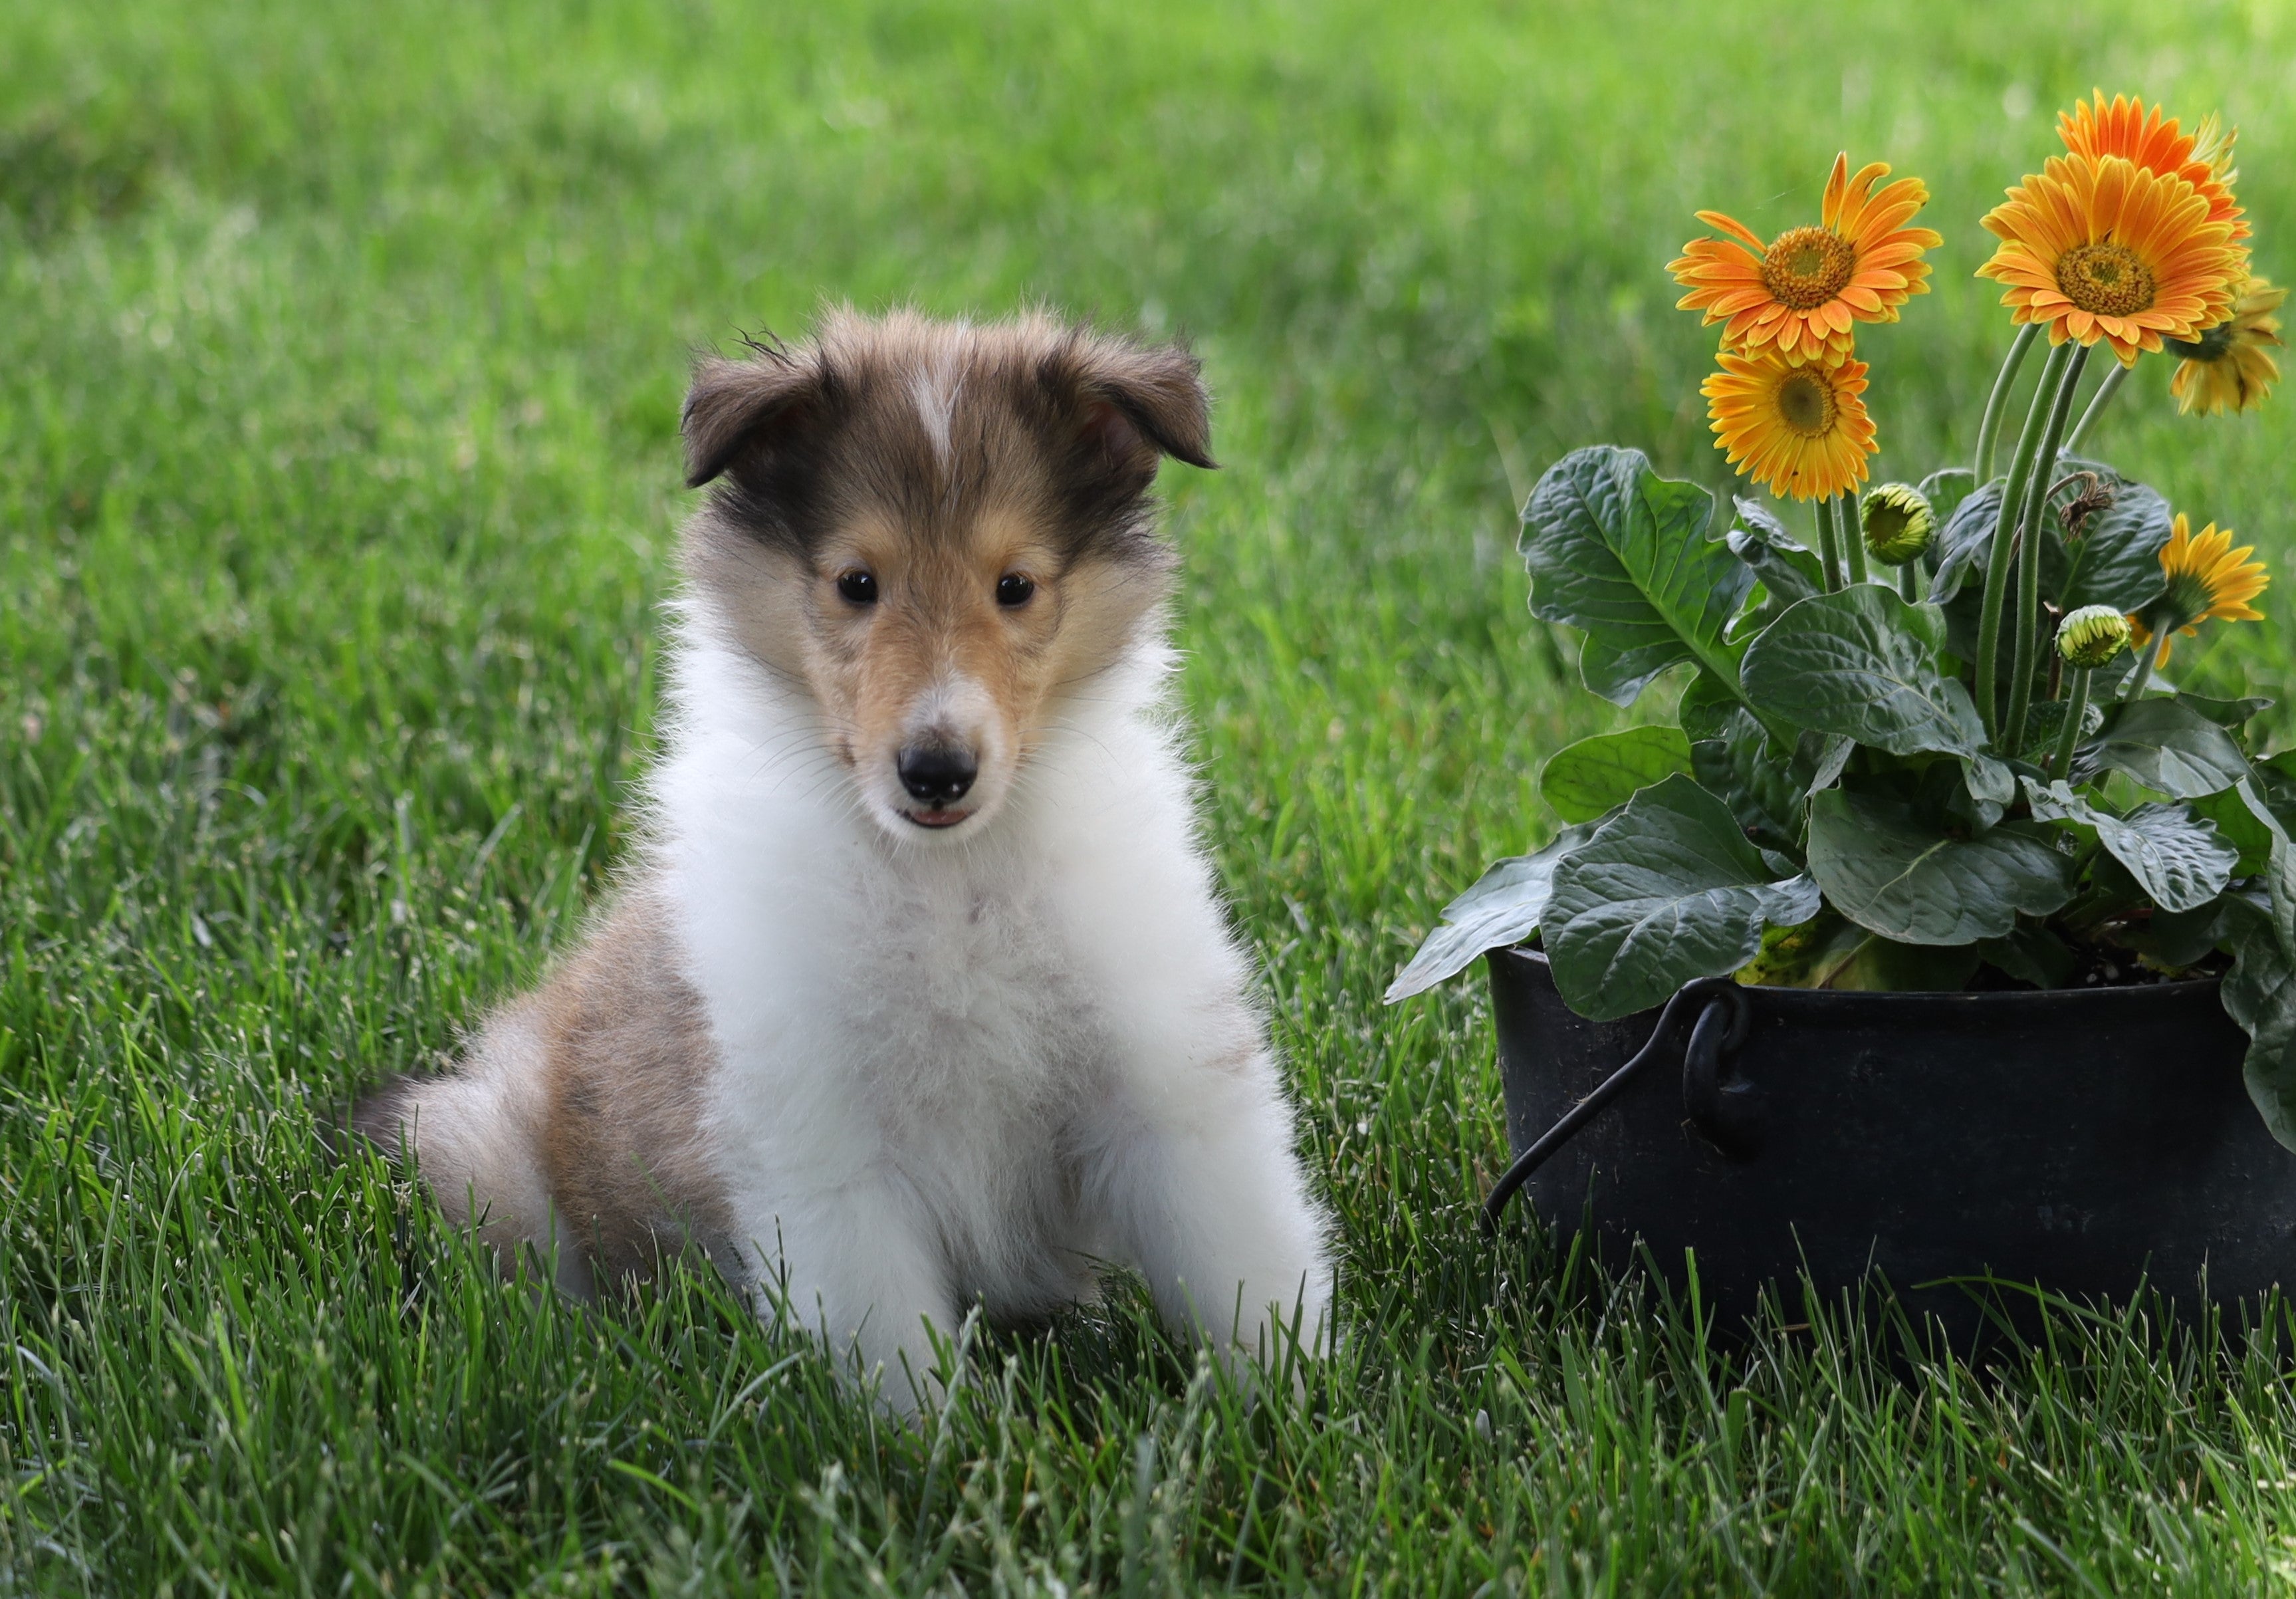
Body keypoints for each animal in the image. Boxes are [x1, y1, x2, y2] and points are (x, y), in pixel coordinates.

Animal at [351, 310, 1341, 1415]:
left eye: (1016, 587)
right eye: (856, 585)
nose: (936, 770)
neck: (947, 884)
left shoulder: (1163, 1068)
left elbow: (1240, 1258)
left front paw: (1293, 1406)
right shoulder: (819, 1138)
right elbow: (892, 1352)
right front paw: (938, 1446)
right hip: (471, 1147)